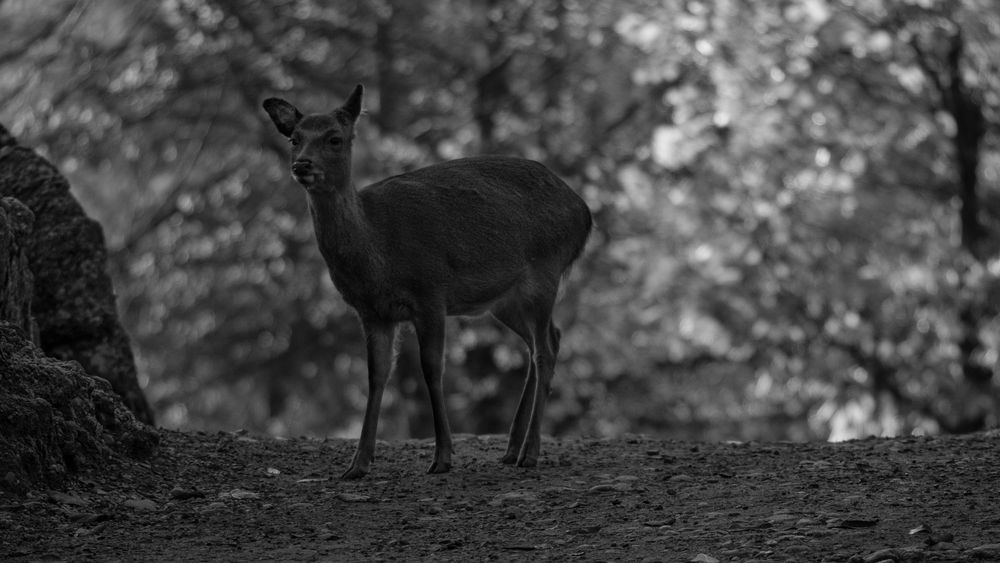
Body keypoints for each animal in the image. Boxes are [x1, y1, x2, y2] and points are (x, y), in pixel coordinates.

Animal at [264, 85, 592, 480]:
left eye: (334, 138)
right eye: (294, 139)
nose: (301, 165)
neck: (377, 255)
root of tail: (585, 212)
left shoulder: (431, 293)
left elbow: (432, 370)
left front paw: (442, 457)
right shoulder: (372, 312)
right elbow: (376, 376)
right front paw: (357, 464)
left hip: (546, 270)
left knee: (544, 349)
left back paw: (529, 452)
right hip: (504, 301)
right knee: (547, 340)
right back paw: (511, 448)